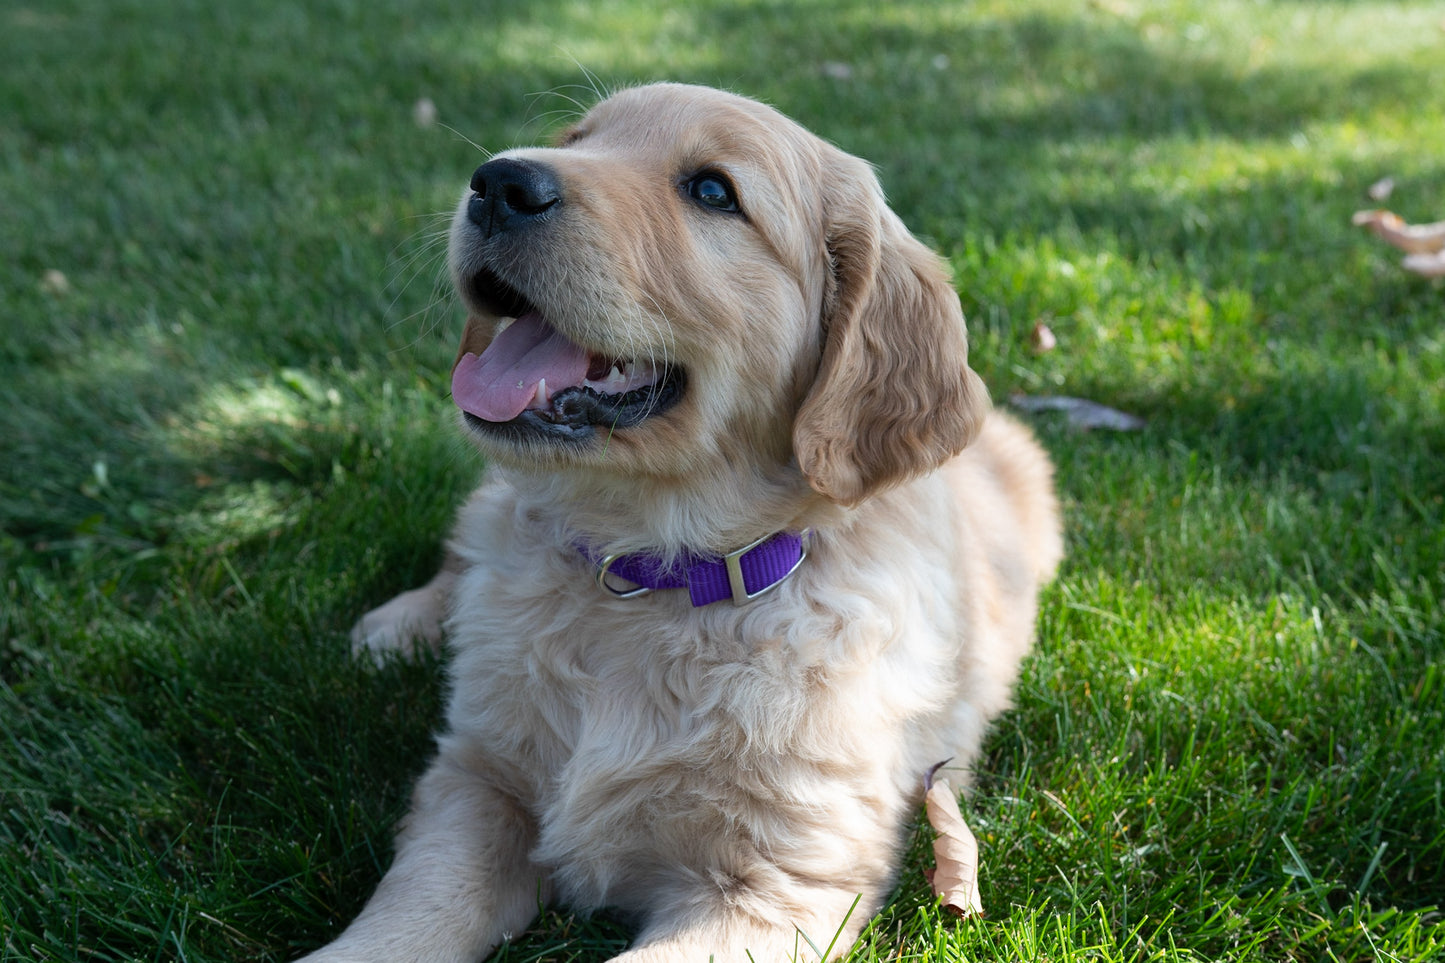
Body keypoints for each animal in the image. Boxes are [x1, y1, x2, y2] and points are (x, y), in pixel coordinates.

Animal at [313, 84, 1063, 960]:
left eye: (712, 191)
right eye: (578, 138)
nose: (498, 181)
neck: (648, 572)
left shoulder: (778, 885)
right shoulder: (476, 782)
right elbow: (410, 911)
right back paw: (399, 626)